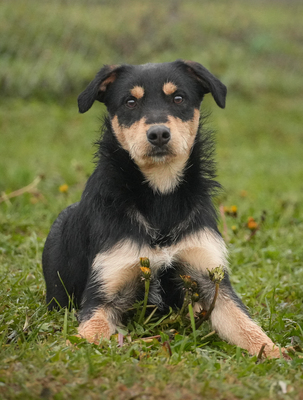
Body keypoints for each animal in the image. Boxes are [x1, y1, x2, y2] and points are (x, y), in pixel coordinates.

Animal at [42, 58, 288, 356]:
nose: (158, 134)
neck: (161, 194)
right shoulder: (104, 291)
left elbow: (248, 327)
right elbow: (88, 333)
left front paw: (276, 354)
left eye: (178, 98)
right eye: (130, 102)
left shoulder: (211, 281)